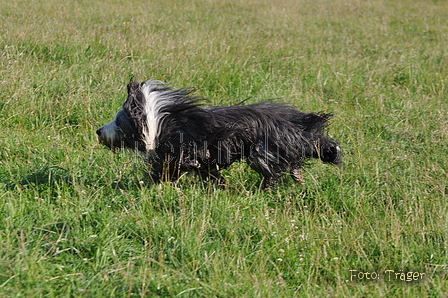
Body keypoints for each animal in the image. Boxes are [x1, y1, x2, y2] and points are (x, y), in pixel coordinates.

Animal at [95, 79, 340, 186]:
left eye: (118, 121)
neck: (158, 124)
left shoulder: (182, 154)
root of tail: (297, 125)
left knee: (273, 172)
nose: (98, 131)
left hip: (261, 152)